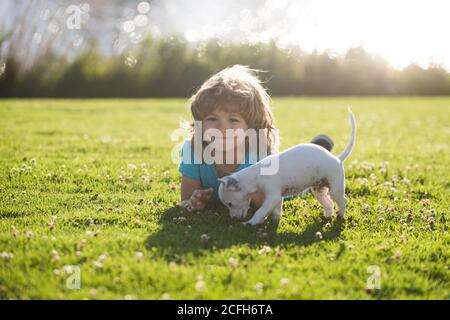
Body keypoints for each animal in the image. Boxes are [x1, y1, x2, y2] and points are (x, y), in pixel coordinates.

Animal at [217, 109, 356, 226]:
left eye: (230, 204)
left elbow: (261, 211)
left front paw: (252, 222)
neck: (255, 175)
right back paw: (327, 217)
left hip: (335, 189)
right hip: (319, 191)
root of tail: (337, 159)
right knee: (329, 204)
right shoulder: (277, 198)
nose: (233, 219)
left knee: (343, 201)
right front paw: (273, 222)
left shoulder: (273, 197)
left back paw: (340, 216)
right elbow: (275, 212)